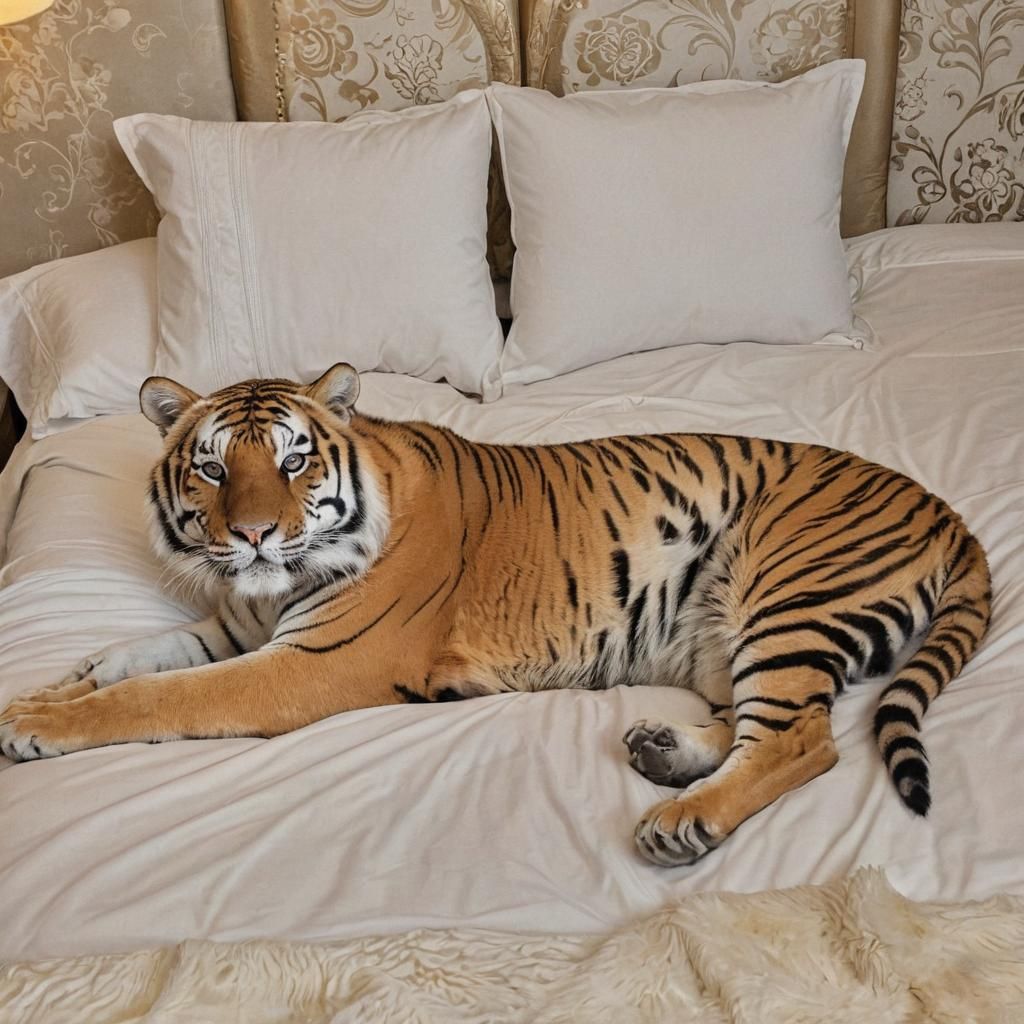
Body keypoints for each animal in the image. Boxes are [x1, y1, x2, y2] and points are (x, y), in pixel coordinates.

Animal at [0, 364, 991, 866]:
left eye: (292, 461)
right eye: (210, 468)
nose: (251, 534)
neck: (269, 589)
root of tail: (946, 508)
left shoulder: (310, 663)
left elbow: (156, 697)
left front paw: (35, 723)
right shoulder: (239, 630)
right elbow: (128, 659)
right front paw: (47, 690)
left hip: (782, 589)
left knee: (803, 740)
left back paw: (683, 821)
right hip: (723, 632)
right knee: (756, 723)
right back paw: (665, 753)